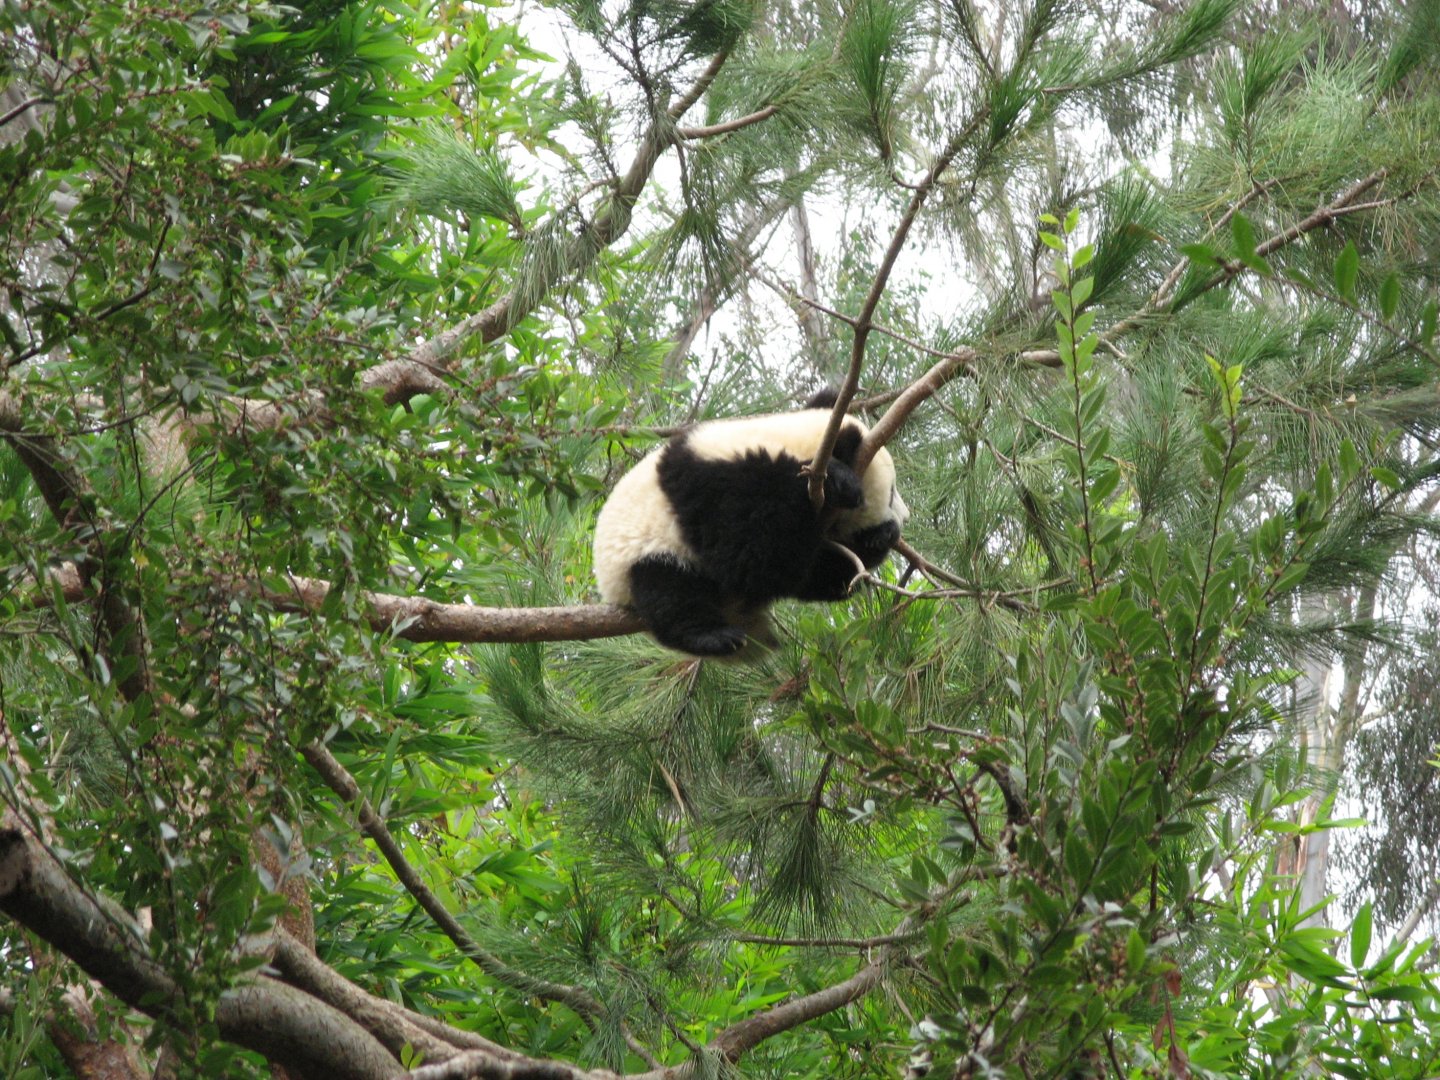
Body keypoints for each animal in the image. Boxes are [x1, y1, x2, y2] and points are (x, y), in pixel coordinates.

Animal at [593, 392, 909, 657]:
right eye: (892, 492)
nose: (905, 517)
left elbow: (811, 573)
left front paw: (879, 537)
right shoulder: (715, 487)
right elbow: (755, 559)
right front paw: (837, 479)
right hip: (644, 555)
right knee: (670, 593)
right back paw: (714, 636)